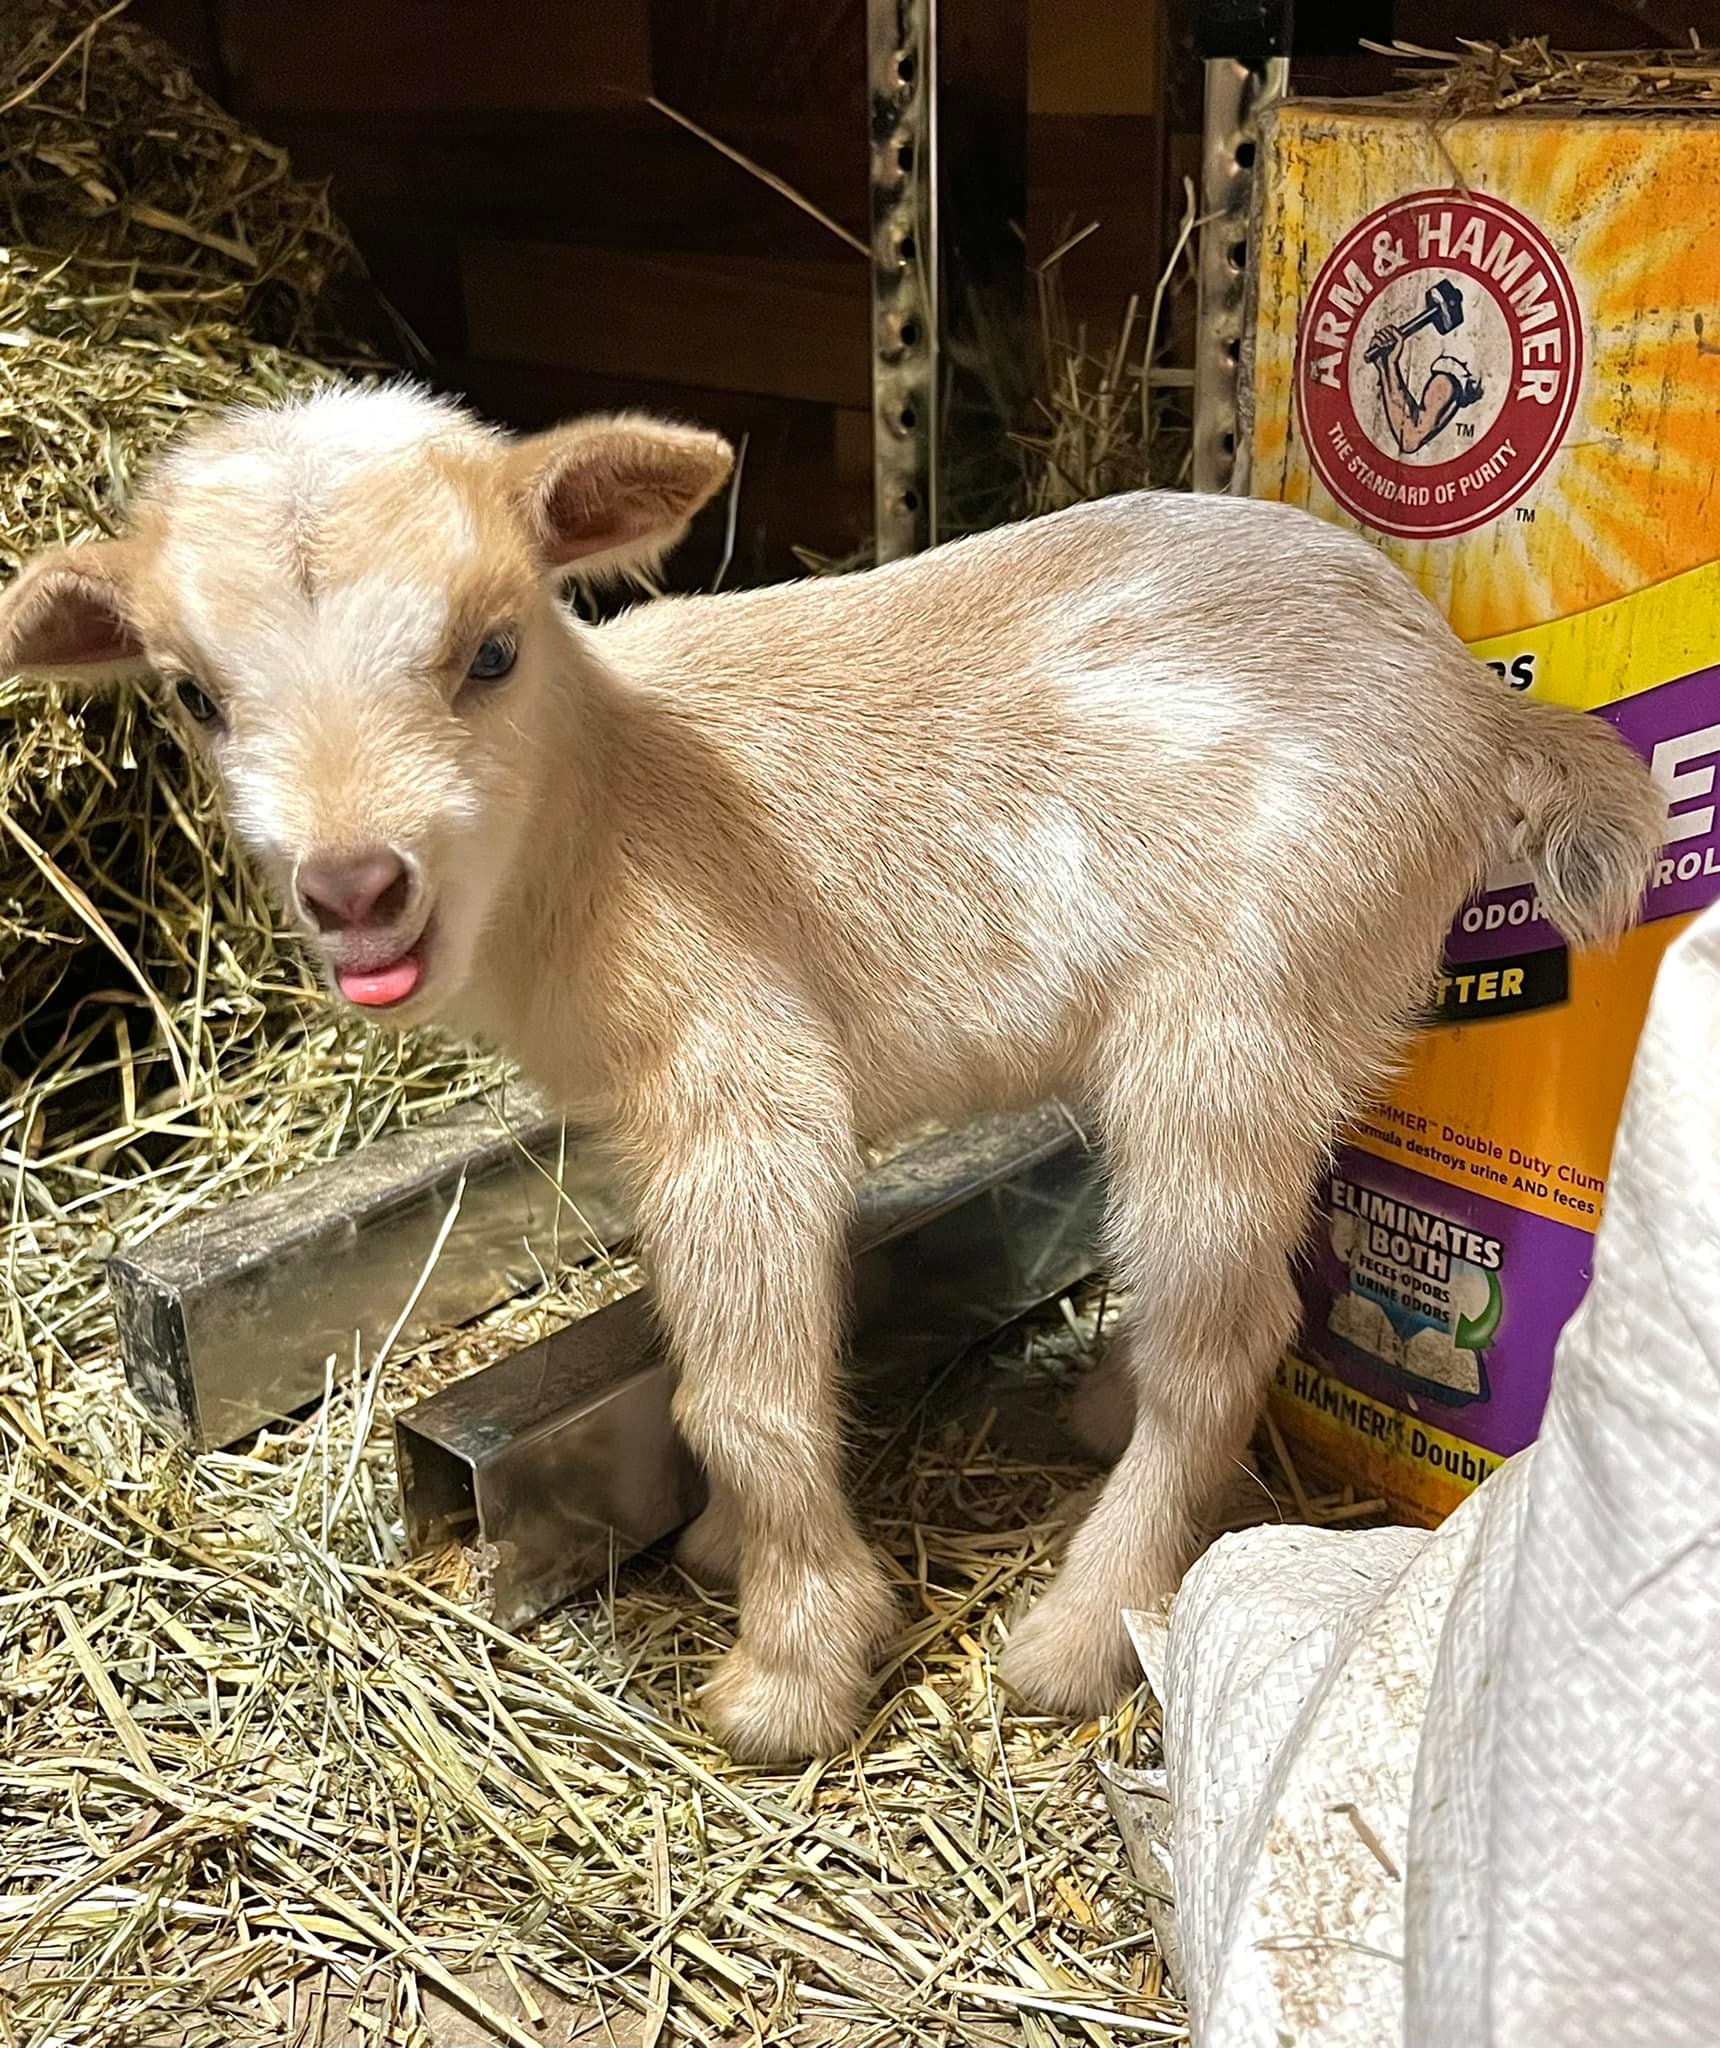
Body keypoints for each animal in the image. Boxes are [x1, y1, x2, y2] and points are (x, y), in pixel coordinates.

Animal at [0, 385, 1665, 1760]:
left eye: (493, 650)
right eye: (196, 695)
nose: (357, 886)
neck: (603, 811)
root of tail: (1477, 703)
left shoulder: (746, 1085)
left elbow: (745, 1391)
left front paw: (791, 1671)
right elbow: (700, 1363)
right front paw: (733, 1555)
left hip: (1239, 1011)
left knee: (1232, 1333)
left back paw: (1077, 1635)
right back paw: (1100, 1414)